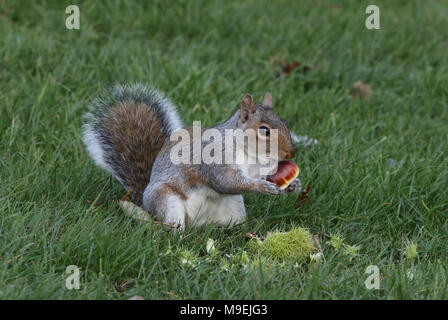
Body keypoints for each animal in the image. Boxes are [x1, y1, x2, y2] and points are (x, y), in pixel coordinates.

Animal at [82, 82, 302, 228]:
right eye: (264, 130)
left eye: (285, 123)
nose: (291, 152)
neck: (250, 154)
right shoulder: (215, 156)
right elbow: (227, 181)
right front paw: (263, 187)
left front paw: (294, 185)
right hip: (166, 200)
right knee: (170, 226)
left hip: (235, 209)